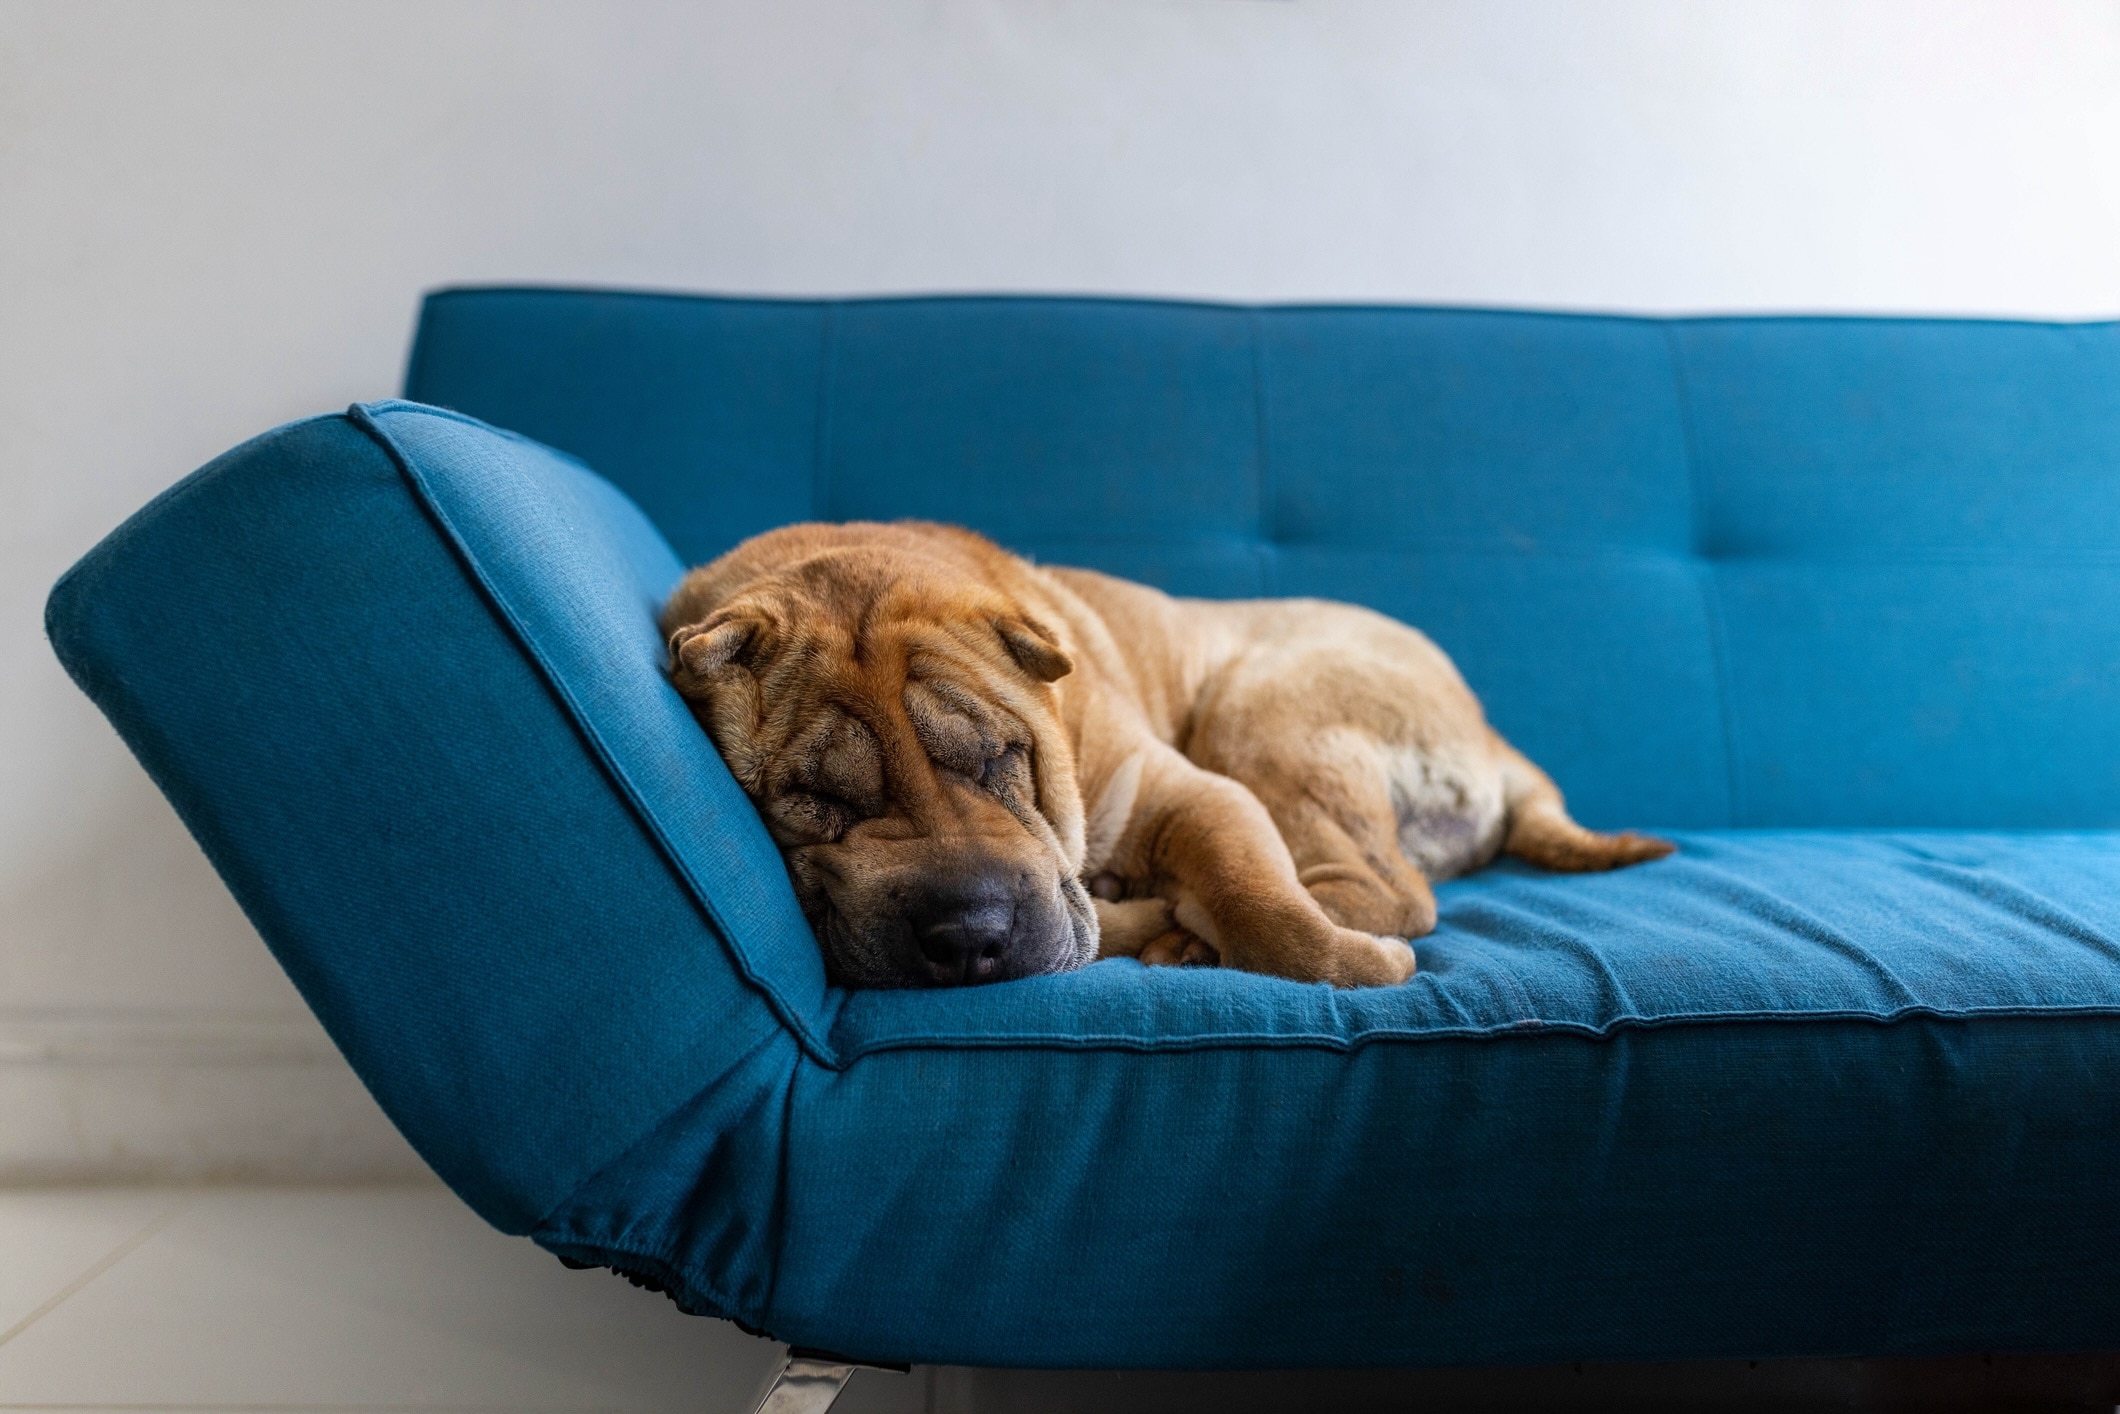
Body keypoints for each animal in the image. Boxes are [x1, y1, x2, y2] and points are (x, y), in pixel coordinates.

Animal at [661, 523, 1670, 996]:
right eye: (815, 798)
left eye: (998, 760)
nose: (969, 936)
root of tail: (1494, 734)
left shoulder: (1189, 792)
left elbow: (1271, 911)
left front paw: (1359, 966)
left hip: (1261, 708)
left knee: (1390, 889)